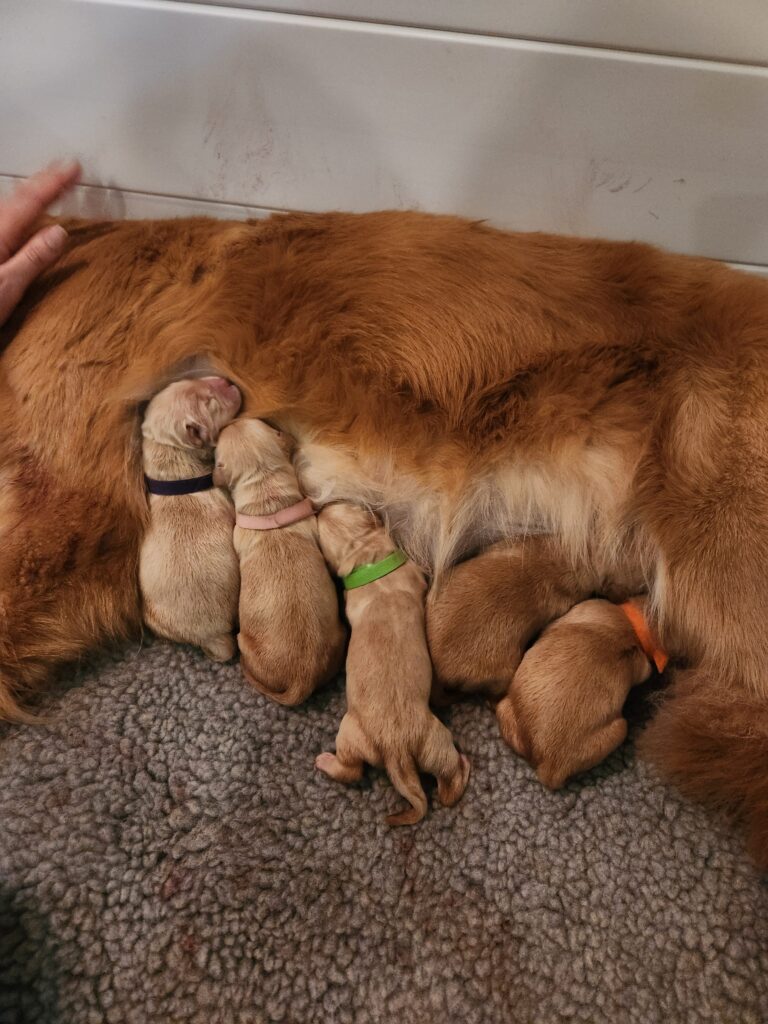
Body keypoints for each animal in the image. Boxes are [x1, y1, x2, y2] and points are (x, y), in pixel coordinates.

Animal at [315, 501, 473, 823]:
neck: (367, 557)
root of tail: (395, 749)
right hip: (430, 742)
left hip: (368, 737)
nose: (319, 508)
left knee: (353, 770)